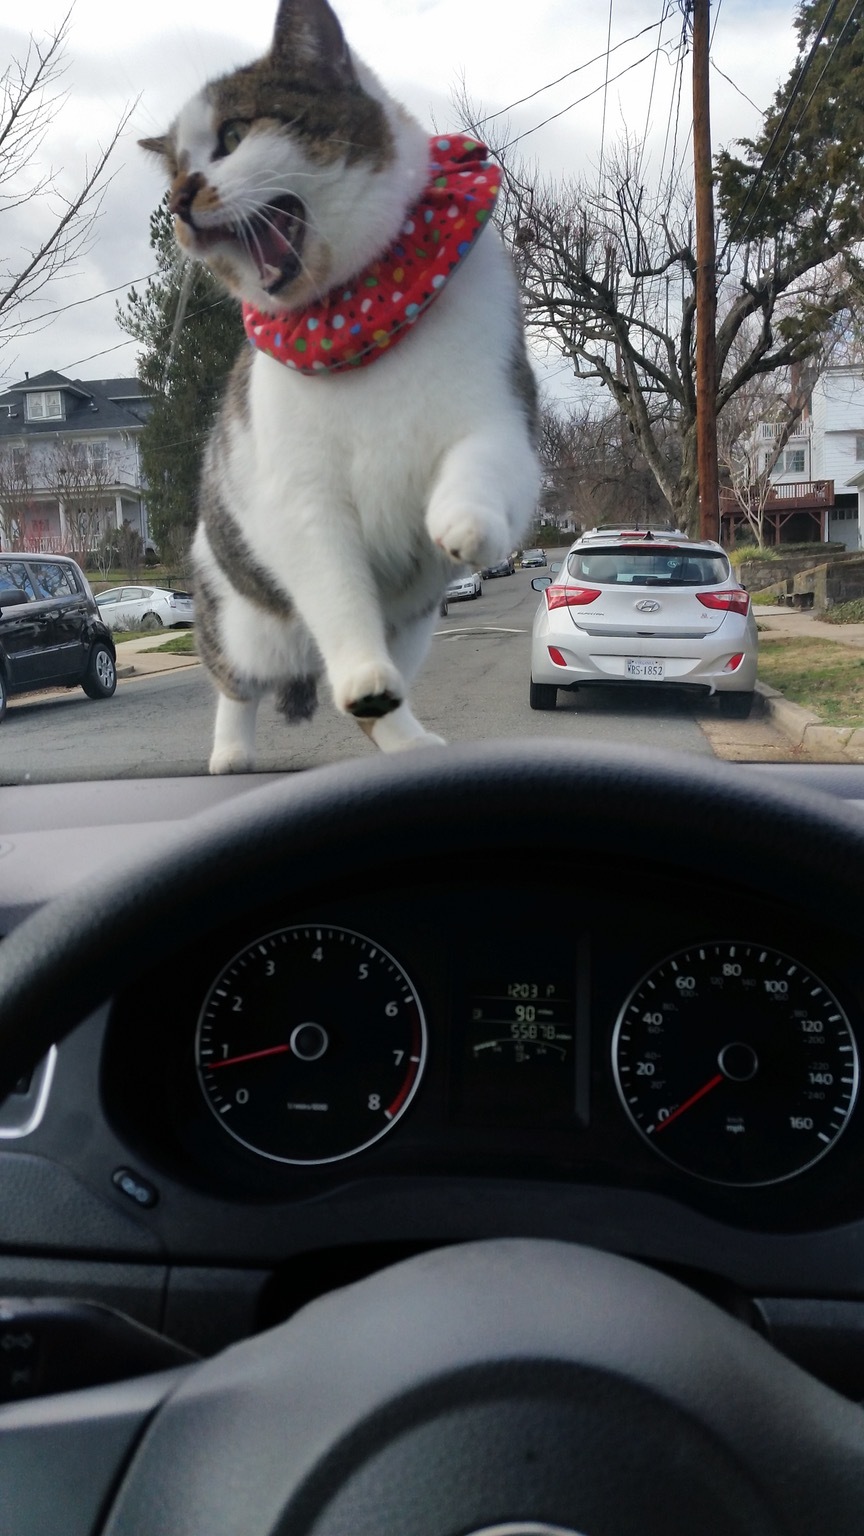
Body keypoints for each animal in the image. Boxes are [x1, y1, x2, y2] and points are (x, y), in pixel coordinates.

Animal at [139, 0, 538, 774]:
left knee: (378, 703)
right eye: (175, 168)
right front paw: (358, 670)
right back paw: (233, 754)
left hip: (413, 627)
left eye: (233, 136)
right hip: (233, 618)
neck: (358, 309)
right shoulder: (302, 495)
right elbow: (336, 588)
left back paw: (406, 738)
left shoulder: (502, 414)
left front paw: (466, 525)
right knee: (235, 684)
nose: (176, 197)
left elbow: (479, 468)